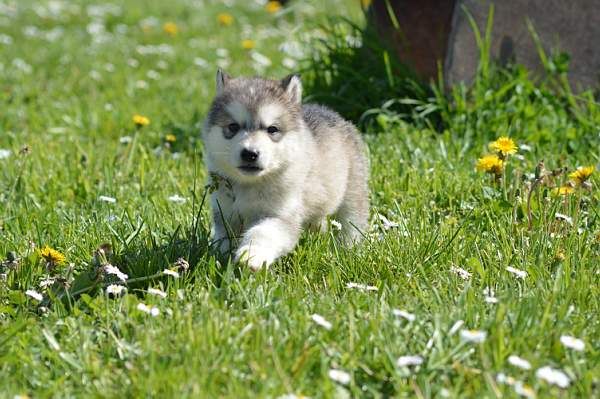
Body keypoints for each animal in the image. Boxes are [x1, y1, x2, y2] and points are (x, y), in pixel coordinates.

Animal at [204, 70, 368, 272]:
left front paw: (251, 255)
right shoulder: (225, 212)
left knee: (352, 220)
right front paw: (220, 255)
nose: (250, 153)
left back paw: (348, 248)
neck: (251, 185)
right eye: (233, 127)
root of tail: (330, 112)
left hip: (353, 188)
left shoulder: (281, 215)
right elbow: (223, 237)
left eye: (272, 129)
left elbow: (262, 232)